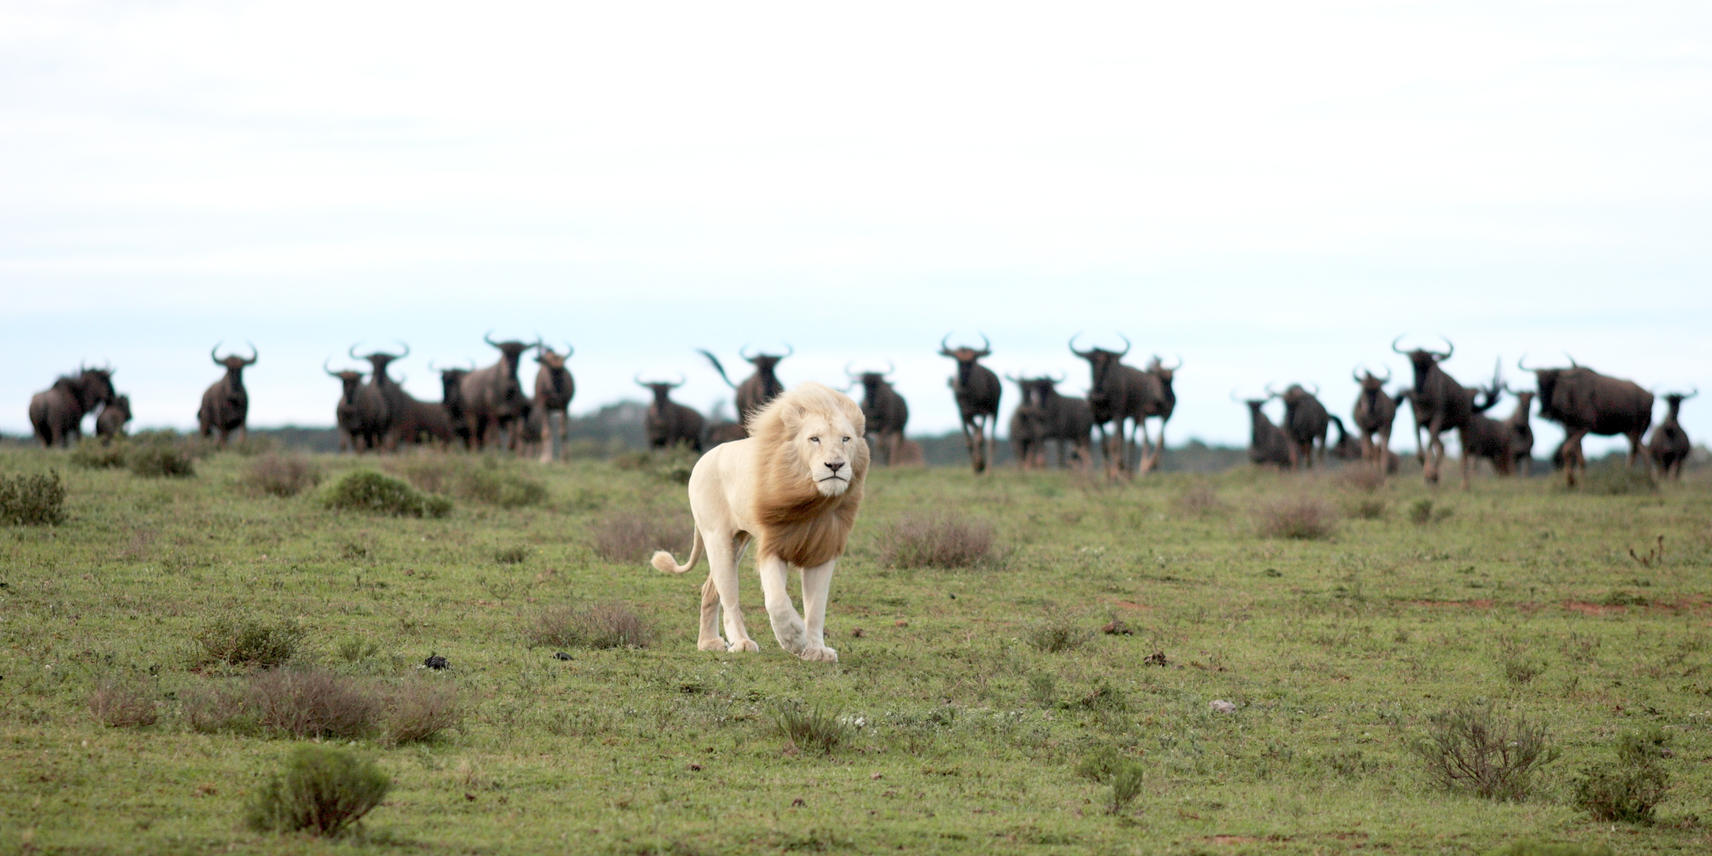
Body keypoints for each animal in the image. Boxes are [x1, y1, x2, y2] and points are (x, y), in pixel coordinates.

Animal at [650, 382, 869, 661]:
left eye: (845, 438)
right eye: (814, 438)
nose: (835, 465)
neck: (811, 498)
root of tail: (703, 458)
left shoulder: (823, 547)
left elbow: (817, 607)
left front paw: (817, 650)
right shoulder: (772, 542)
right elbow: (777, 601)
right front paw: (794, 639)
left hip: (739, 541)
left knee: (709, 589)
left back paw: (708, 643)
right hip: (718, 539)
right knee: (729, 597)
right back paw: (741, 643)